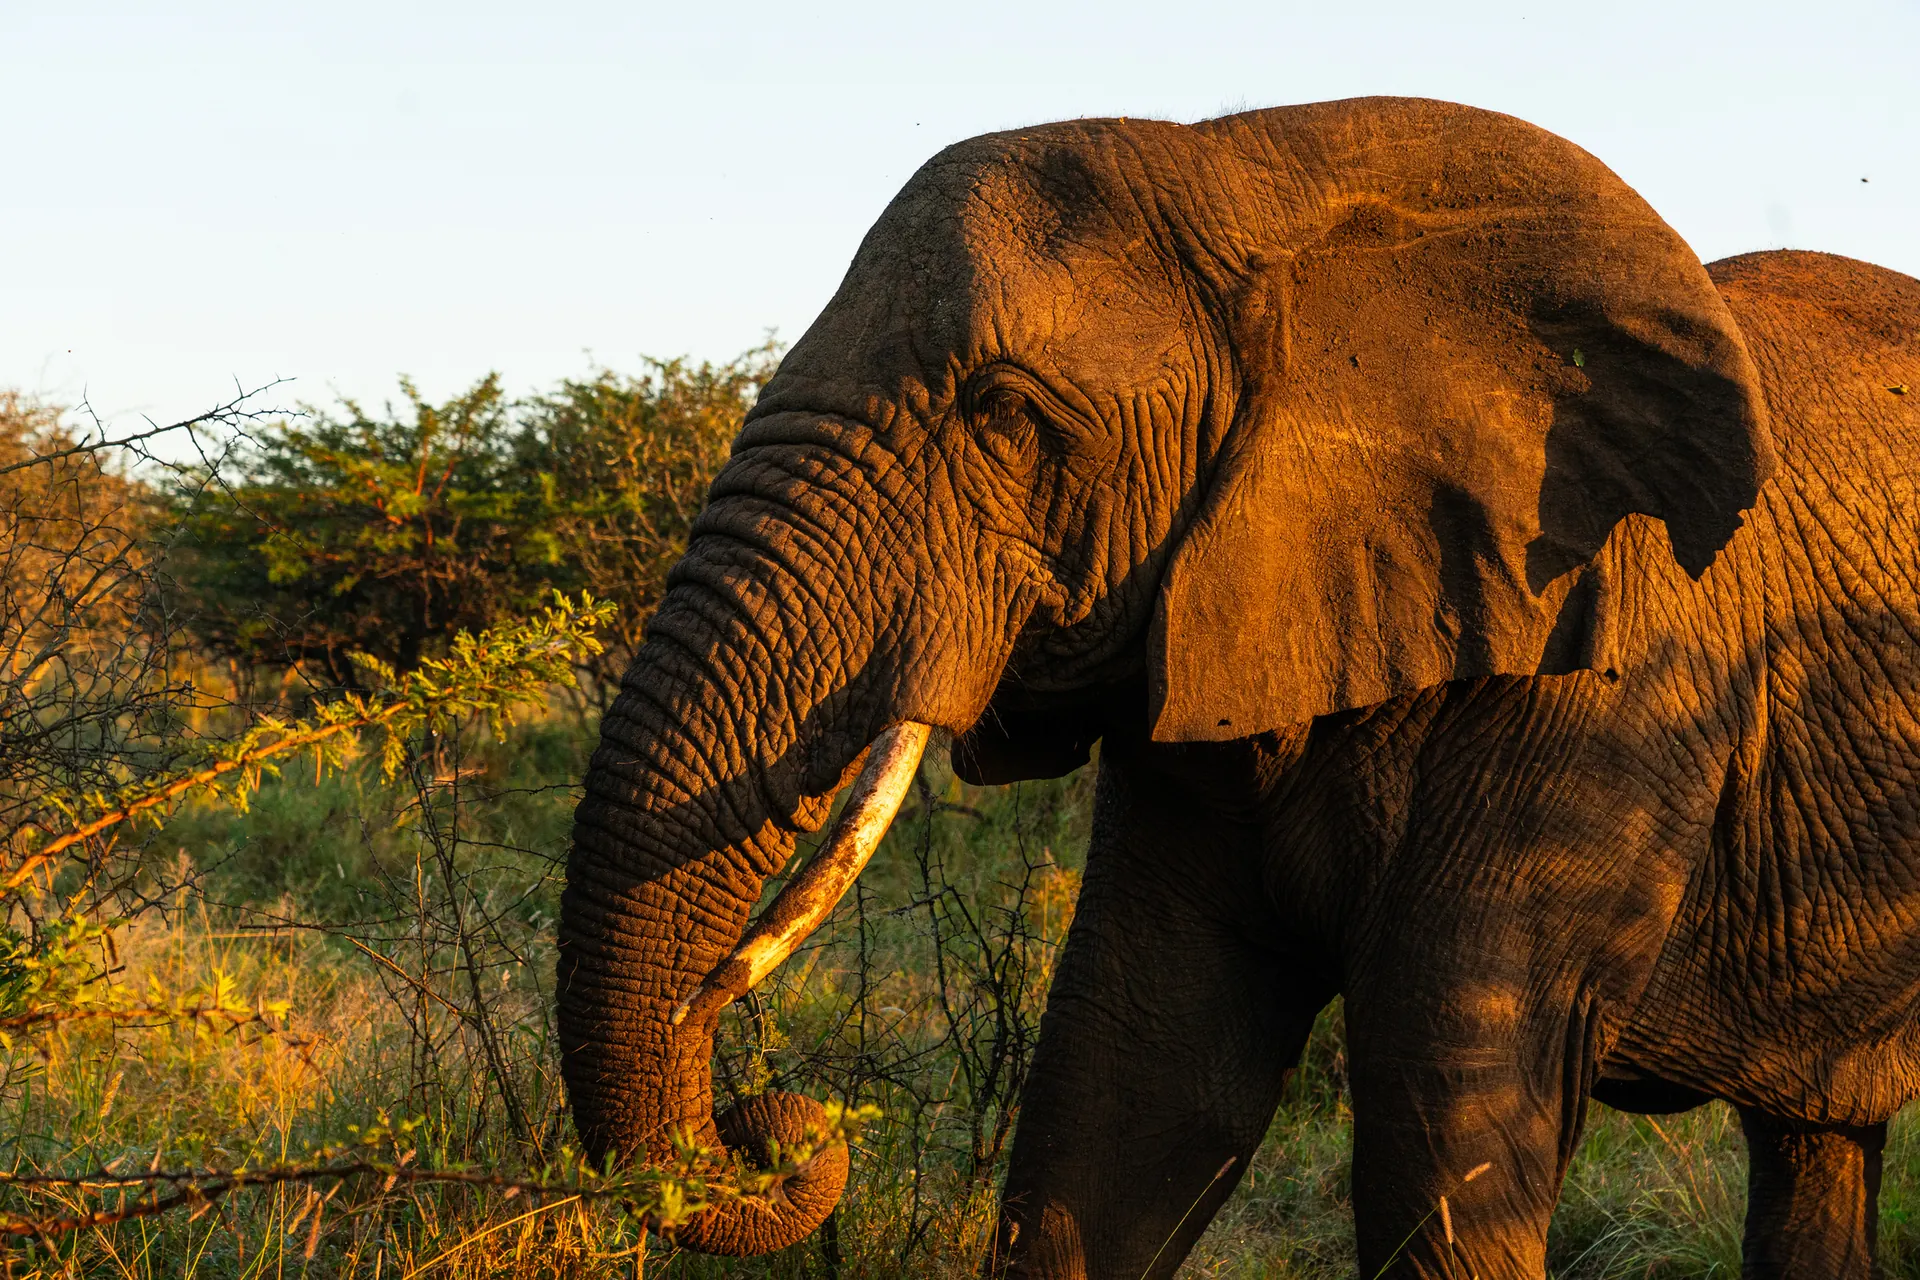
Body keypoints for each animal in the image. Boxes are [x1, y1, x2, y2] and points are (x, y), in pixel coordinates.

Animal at [557, 95, 1920, 1277]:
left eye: (1005, 416)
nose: (773, 1127)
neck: (1260, 182)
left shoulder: (1612, 675)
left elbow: (1444, 1120)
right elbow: (1129, 1088)